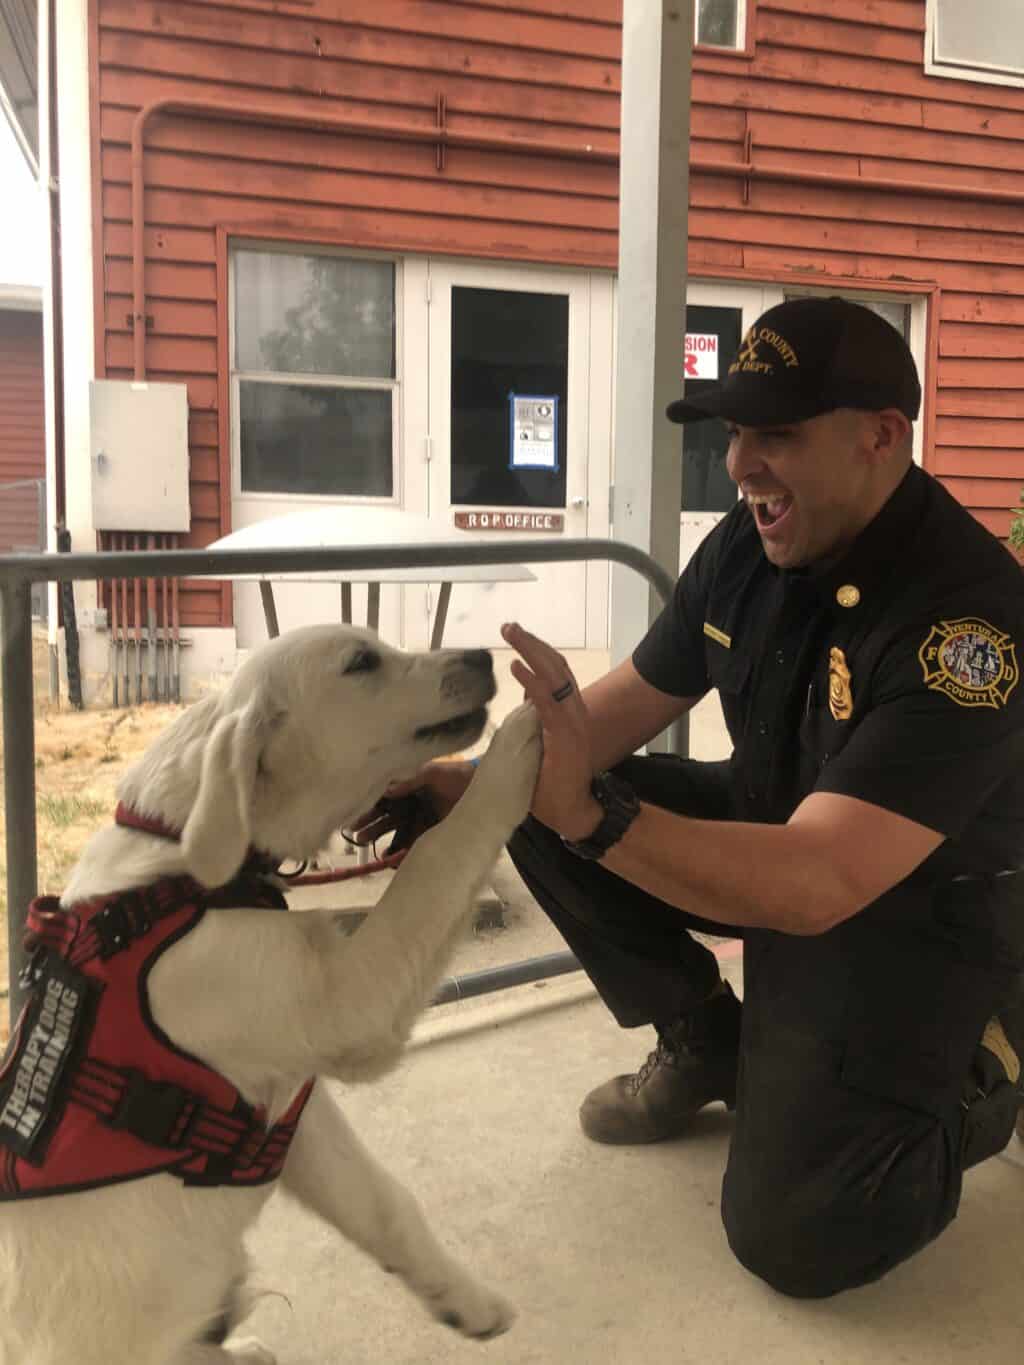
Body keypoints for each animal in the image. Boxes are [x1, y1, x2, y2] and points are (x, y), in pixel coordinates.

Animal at [0, 625, 546, 1365]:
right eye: (362, 662)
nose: (483, 658)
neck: (177, 867)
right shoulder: (343, 1003)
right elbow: (439, 845)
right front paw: (519, 742)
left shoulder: (282, 1116)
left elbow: (387, 1204)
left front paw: (467, 1301)